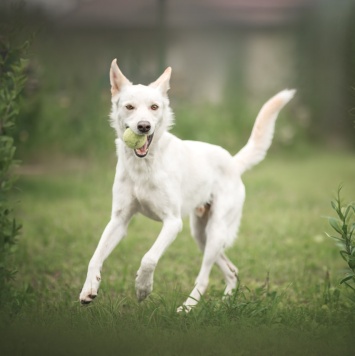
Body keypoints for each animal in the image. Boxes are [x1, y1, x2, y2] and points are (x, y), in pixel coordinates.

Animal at [79, 59, 296, 312]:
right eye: (130, 107)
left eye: (154, 107)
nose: (144, 126)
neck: (145, 164)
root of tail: (232, 162)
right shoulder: (119, 221)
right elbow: (95, 256)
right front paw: (89, 289)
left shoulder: (173, 223)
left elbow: (149, 257)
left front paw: (143, 288)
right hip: (201, 235)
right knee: (232, 271)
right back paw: (225, 302)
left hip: (215, 231)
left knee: (204, 277)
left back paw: (187, 308)